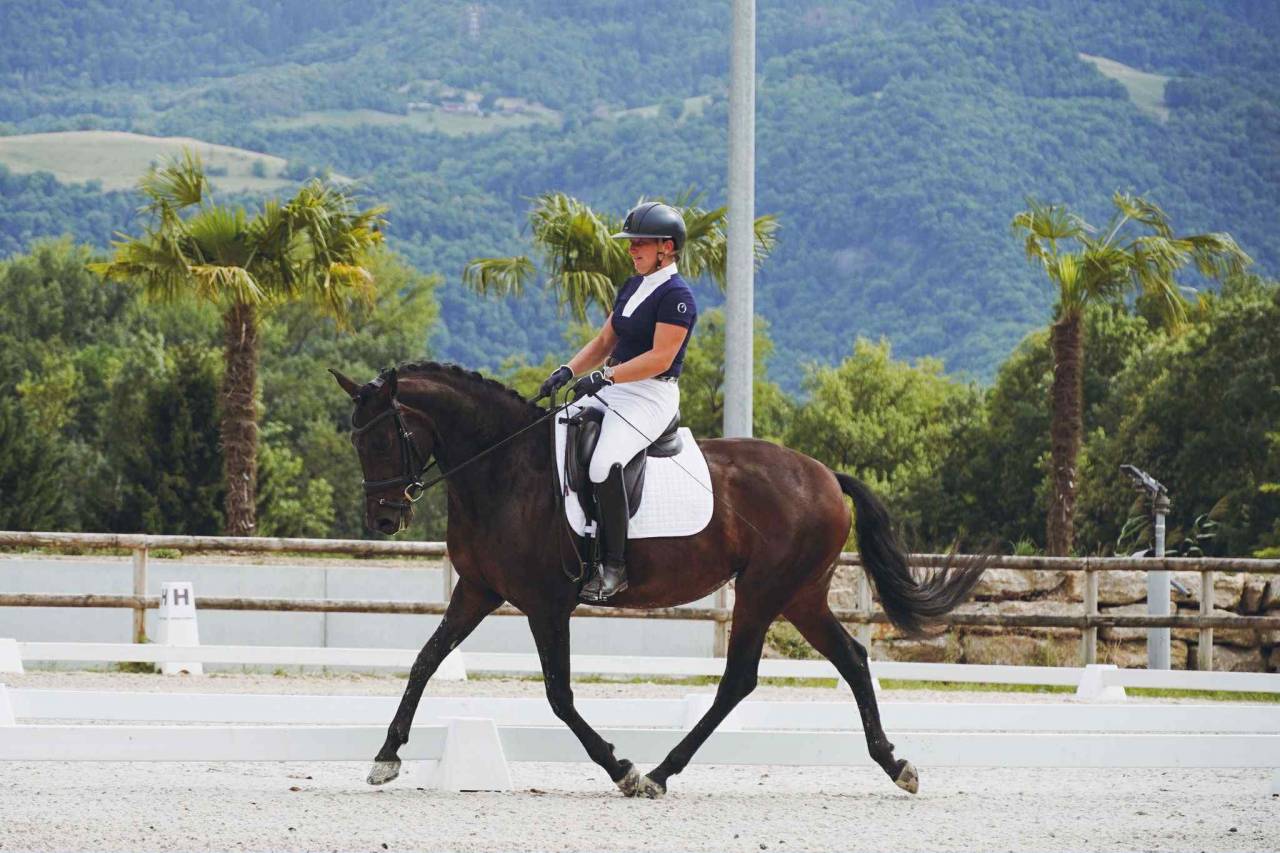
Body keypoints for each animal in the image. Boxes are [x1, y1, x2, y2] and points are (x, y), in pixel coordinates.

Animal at [330, 361, 986, 798]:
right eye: (357, 442)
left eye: (384, 438)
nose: (384, 518)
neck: (504, 468)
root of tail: (825, 475)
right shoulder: (477, 590)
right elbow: (425, 660)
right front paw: (386, 757)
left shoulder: (546, 603)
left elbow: (559, 695)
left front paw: (619, 768)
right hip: (799, 595)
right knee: (849, 658)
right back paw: (895, 765)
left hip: (763, 590)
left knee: (739, 680)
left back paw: (659, 773)